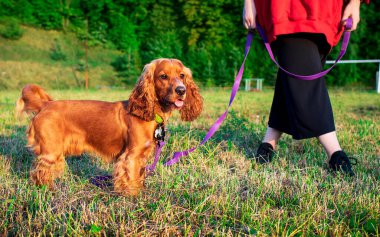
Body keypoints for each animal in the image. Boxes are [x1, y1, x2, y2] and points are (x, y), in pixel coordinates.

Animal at [16, 58, 203, 195]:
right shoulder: (131, 156)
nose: (181, 90)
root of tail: (45, 105)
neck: (149, 112)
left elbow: (139, 177)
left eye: (182, 75)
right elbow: (132, 179)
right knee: (40, 172)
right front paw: (134, 198)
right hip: (51, 151)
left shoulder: (140, 157)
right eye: (163, 76)